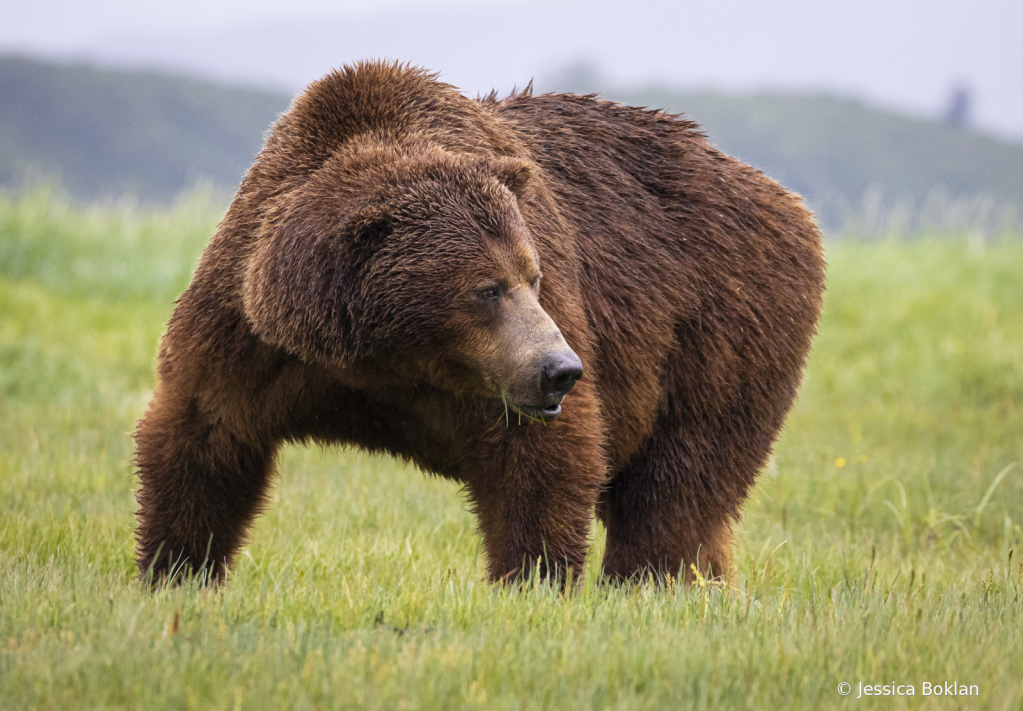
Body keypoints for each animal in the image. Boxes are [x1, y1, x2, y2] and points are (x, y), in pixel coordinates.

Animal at [131, 59, 826, 585]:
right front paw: (173, 570)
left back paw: (651, 581)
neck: (382, 357)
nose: (561, 370)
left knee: (675, 486)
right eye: (487, 288)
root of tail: (782, 198)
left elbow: (545, 461)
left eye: (533, 276)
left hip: (723, 322)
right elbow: (205, 437)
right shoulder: (250, 333)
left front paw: (535, 579)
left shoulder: (508, 367)